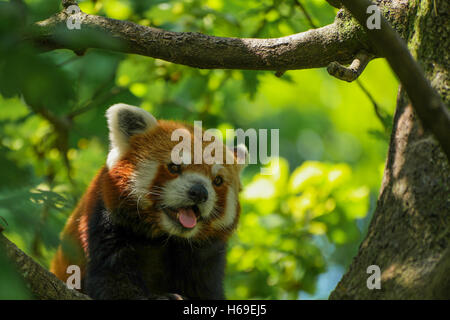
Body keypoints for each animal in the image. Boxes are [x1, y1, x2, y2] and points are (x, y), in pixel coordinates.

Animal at [50, 104, 248, 298]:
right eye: (174, 167)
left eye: (218, 181)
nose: (199, 192)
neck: (164, 237)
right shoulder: (103, 222)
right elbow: (114, 281)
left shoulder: (206, 254)